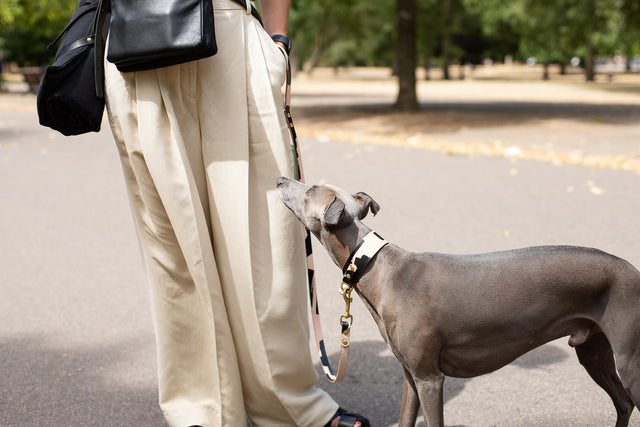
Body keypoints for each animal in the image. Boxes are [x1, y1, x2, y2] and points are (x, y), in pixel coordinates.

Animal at [278, 176, 640, 426]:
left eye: (310, 190)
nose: (281, 179)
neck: (379, 268)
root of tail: (632, 270)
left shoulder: (430, 378)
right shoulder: (411, 377)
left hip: (628, 361)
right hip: (593, 352)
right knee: (623, 403)